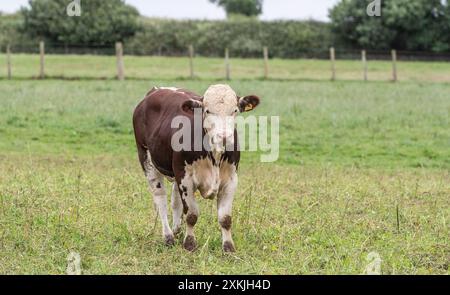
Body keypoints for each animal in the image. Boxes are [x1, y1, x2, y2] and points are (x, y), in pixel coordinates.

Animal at [133, 84, 260, 253]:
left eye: (234, 110)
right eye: (207, 111)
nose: (224, 137)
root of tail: (156, 89)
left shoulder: (231, 180)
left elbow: (225, 218)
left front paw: (228, 247)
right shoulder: (185, 179)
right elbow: (192, 214)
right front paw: (189, 244)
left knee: (175, 201)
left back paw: (177, 231)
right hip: (146, 158)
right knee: (160, 200)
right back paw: (168, 237)